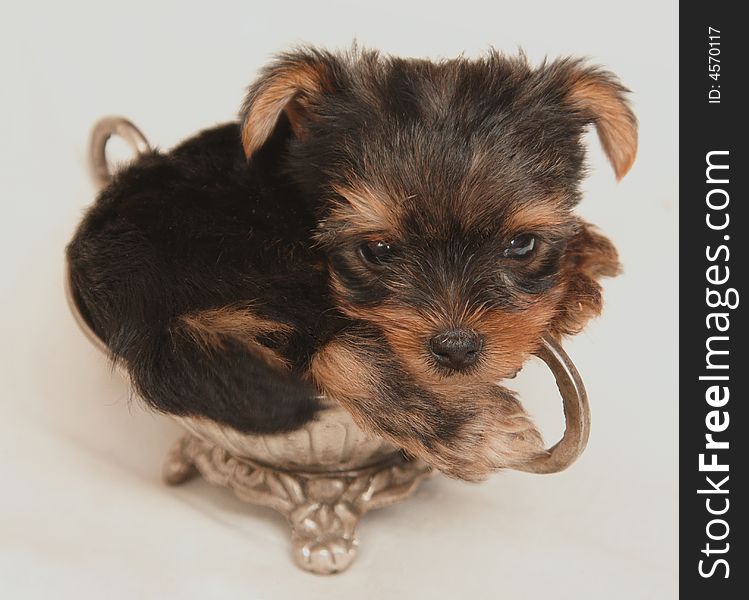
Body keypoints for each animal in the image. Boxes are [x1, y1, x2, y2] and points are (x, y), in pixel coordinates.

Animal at [67, 47, 636, 480]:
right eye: (378, 250)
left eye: (522, 245)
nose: (456, 349)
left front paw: (585, 260)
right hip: (266, 266)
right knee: (330, 345)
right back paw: (473, 427)